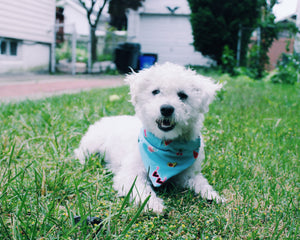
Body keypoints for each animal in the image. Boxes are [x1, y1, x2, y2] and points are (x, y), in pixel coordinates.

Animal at [75, 62, 225, 212]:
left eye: (183, 95)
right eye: (155, 91)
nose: (166, 109)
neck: (165, 144)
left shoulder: (188, 174)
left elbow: (201, 183)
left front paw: (212, 195)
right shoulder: (130, 175)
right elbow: (142, 191)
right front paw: (153, 204)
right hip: (91, 144)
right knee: (80, 152)